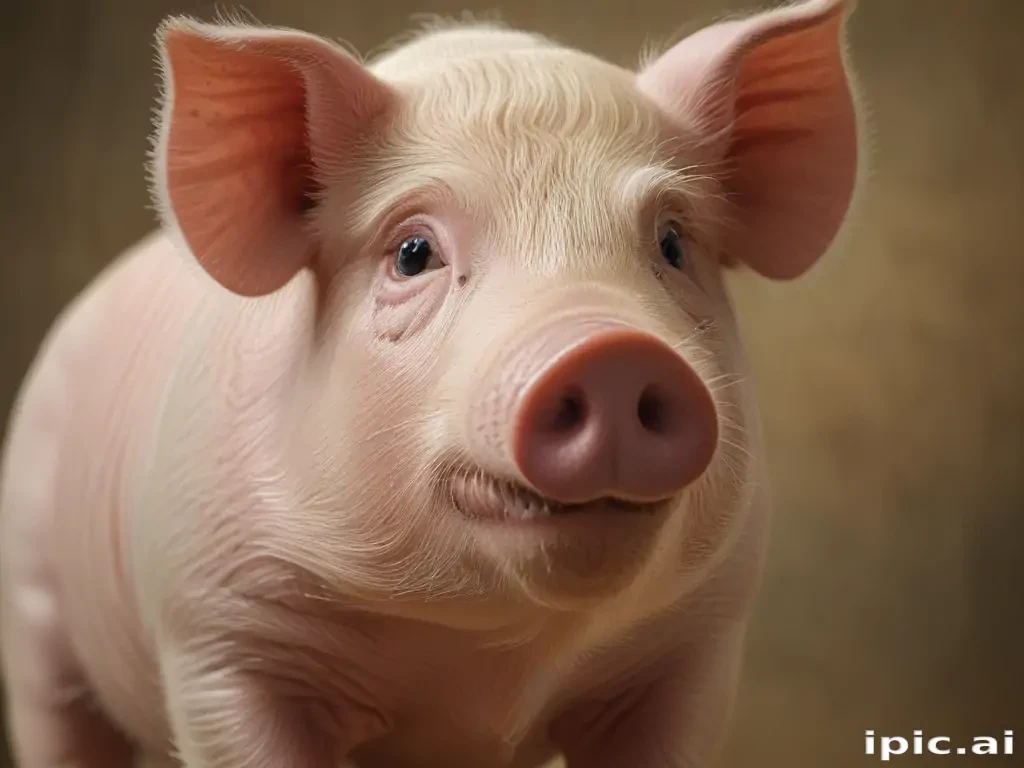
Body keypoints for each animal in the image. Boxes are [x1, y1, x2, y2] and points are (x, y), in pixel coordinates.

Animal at [0, 0, 863, 766]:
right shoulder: (220, 637)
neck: (487, 660)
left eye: (674, 244)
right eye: (413, 253)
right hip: (32, 605)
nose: (614, 350)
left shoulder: (694, 649)